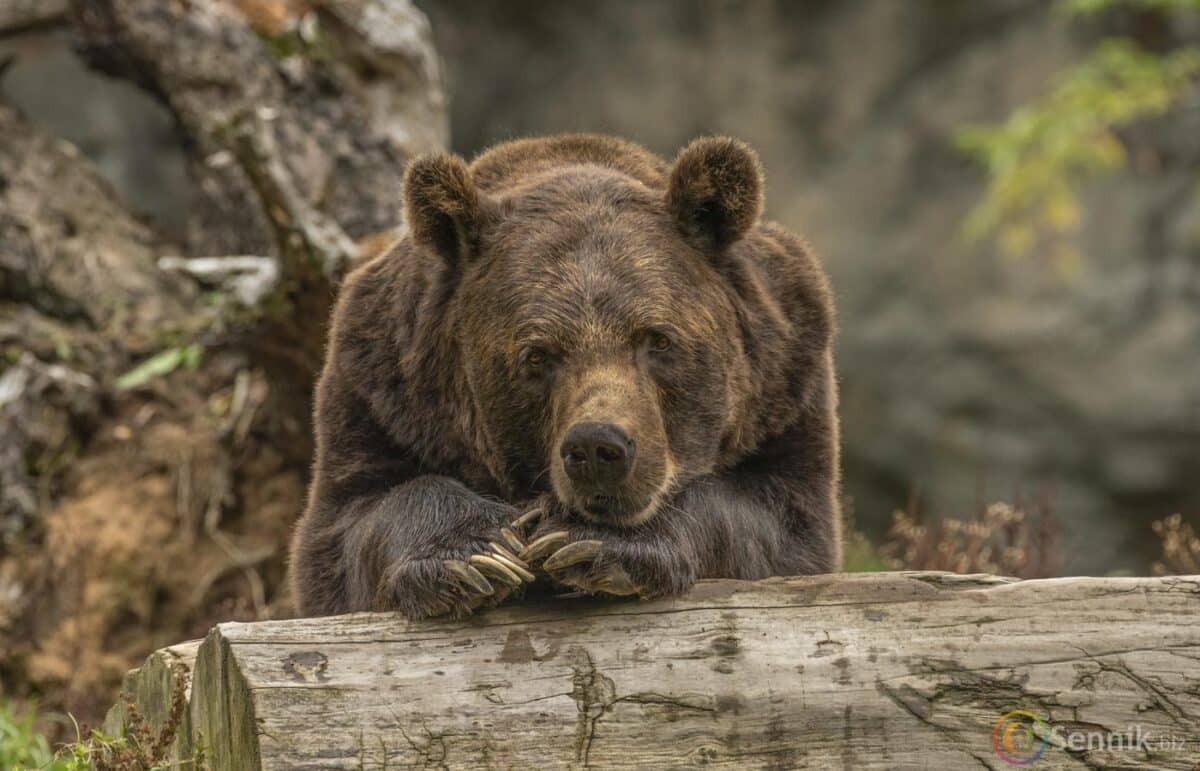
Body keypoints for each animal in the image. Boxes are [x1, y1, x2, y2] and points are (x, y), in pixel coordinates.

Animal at [288, 133, 844, 619]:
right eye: (537, 355)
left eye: (657, 339)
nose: (598, 447)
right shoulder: (381, 393)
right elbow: (352, 525)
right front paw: (477, 554)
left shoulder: (786, 386)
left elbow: (777, 523)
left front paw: (591, 541)